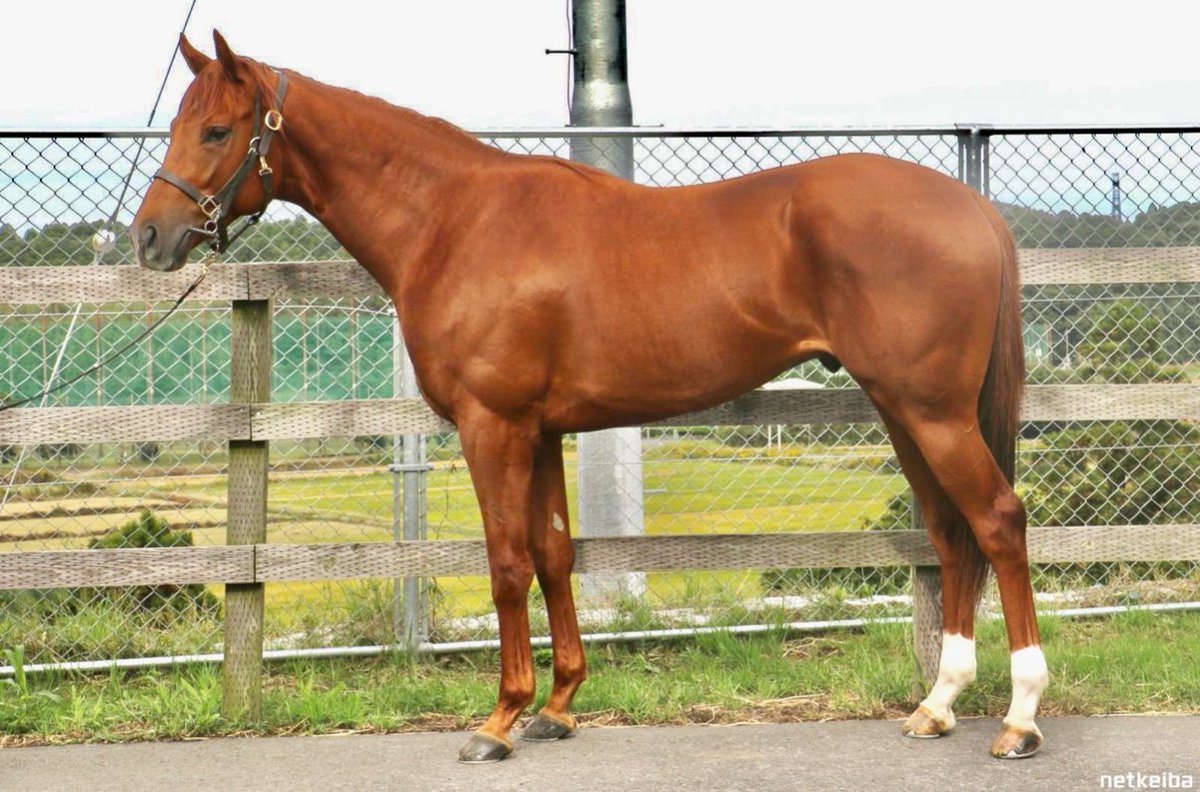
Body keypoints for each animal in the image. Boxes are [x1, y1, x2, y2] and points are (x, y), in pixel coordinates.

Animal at [131, 31, 1048, 763]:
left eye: (217, 128)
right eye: (177, 123)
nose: (149, 237)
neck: (455, 219)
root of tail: (974, 209)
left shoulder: (491, 426)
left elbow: (506, 565)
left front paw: (499, 720)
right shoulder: (539, 432)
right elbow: (555, 553)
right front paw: (560, 706)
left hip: (931, 413)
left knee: (999, 523)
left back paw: (1019, 718)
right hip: (904, 412)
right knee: (952, 533)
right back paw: (938, 705)